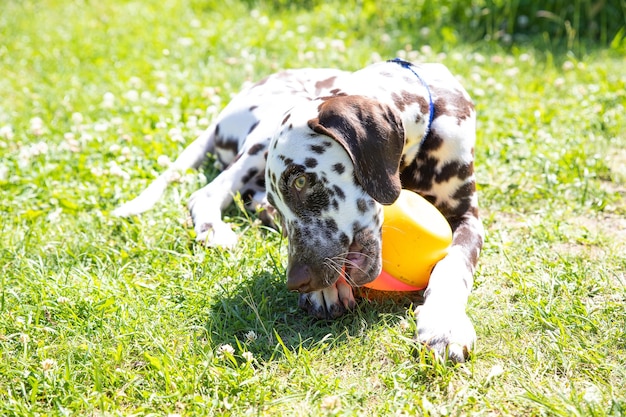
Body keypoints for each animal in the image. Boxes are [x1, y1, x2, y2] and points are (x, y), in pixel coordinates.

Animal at [113, 58, 482, 360]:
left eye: (301, 180)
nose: (297, 281)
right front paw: (325, 291)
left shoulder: (469, 218)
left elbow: (452, 264)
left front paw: (443, 323)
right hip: (261, 136)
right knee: (206, 193)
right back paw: (215, 229)